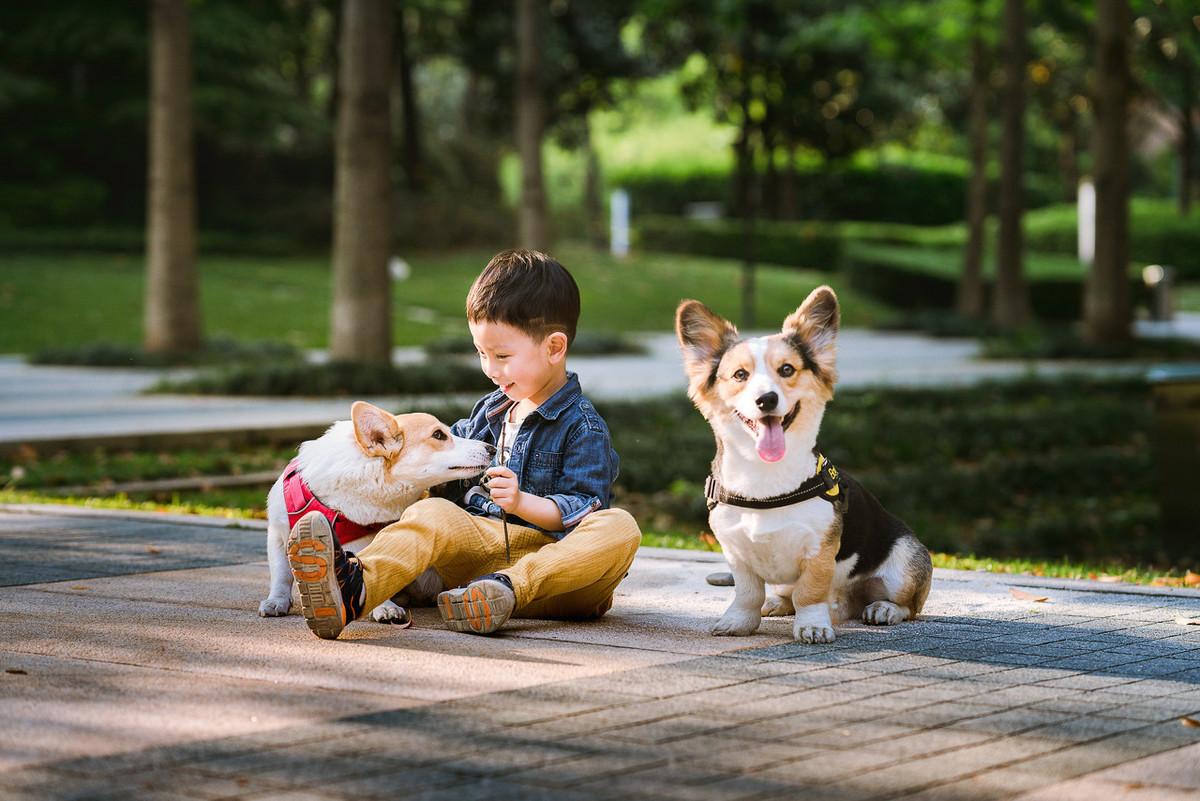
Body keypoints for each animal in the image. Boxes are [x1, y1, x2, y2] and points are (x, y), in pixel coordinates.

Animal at [259, 402, 492, 623]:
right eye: (438, 435)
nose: (490, 448)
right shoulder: (278, 534)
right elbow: (281, 574)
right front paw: (276, 601)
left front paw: (385, 607)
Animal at [672, 287, 931, 642]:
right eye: (740, 375)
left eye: (787, 370)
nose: (766, 399)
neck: (764, 480)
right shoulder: (736, 553)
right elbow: (747, 593)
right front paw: (739, 622)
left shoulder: (819, 552)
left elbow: (809, 593)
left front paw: (812, 626)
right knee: (786, 595)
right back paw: (776, 604)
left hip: (903, 564)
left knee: (907, 606)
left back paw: (883, 609)